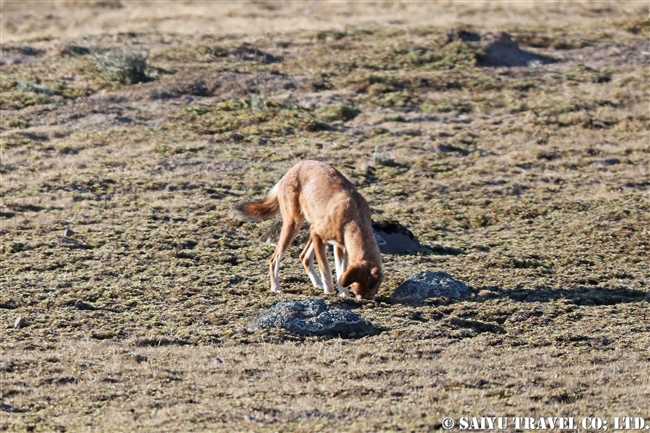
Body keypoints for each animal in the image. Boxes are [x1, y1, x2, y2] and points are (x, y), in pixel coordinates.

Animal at [237, 160, 380, 298]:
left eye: (373, 291)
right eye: (365, 290)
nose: (366, 300)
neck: (354, 218)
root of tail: (294, 167)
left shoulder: (340, 246)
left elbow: (340, 274)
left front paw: (343, 293)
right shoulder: (319, 234)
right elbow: (326, 270)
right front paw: (329, 293)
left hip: (310, 229)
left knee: (303, 257)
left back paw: (317, 283)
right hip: (295, 225)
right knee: (274, 259)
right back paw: (276, 288)